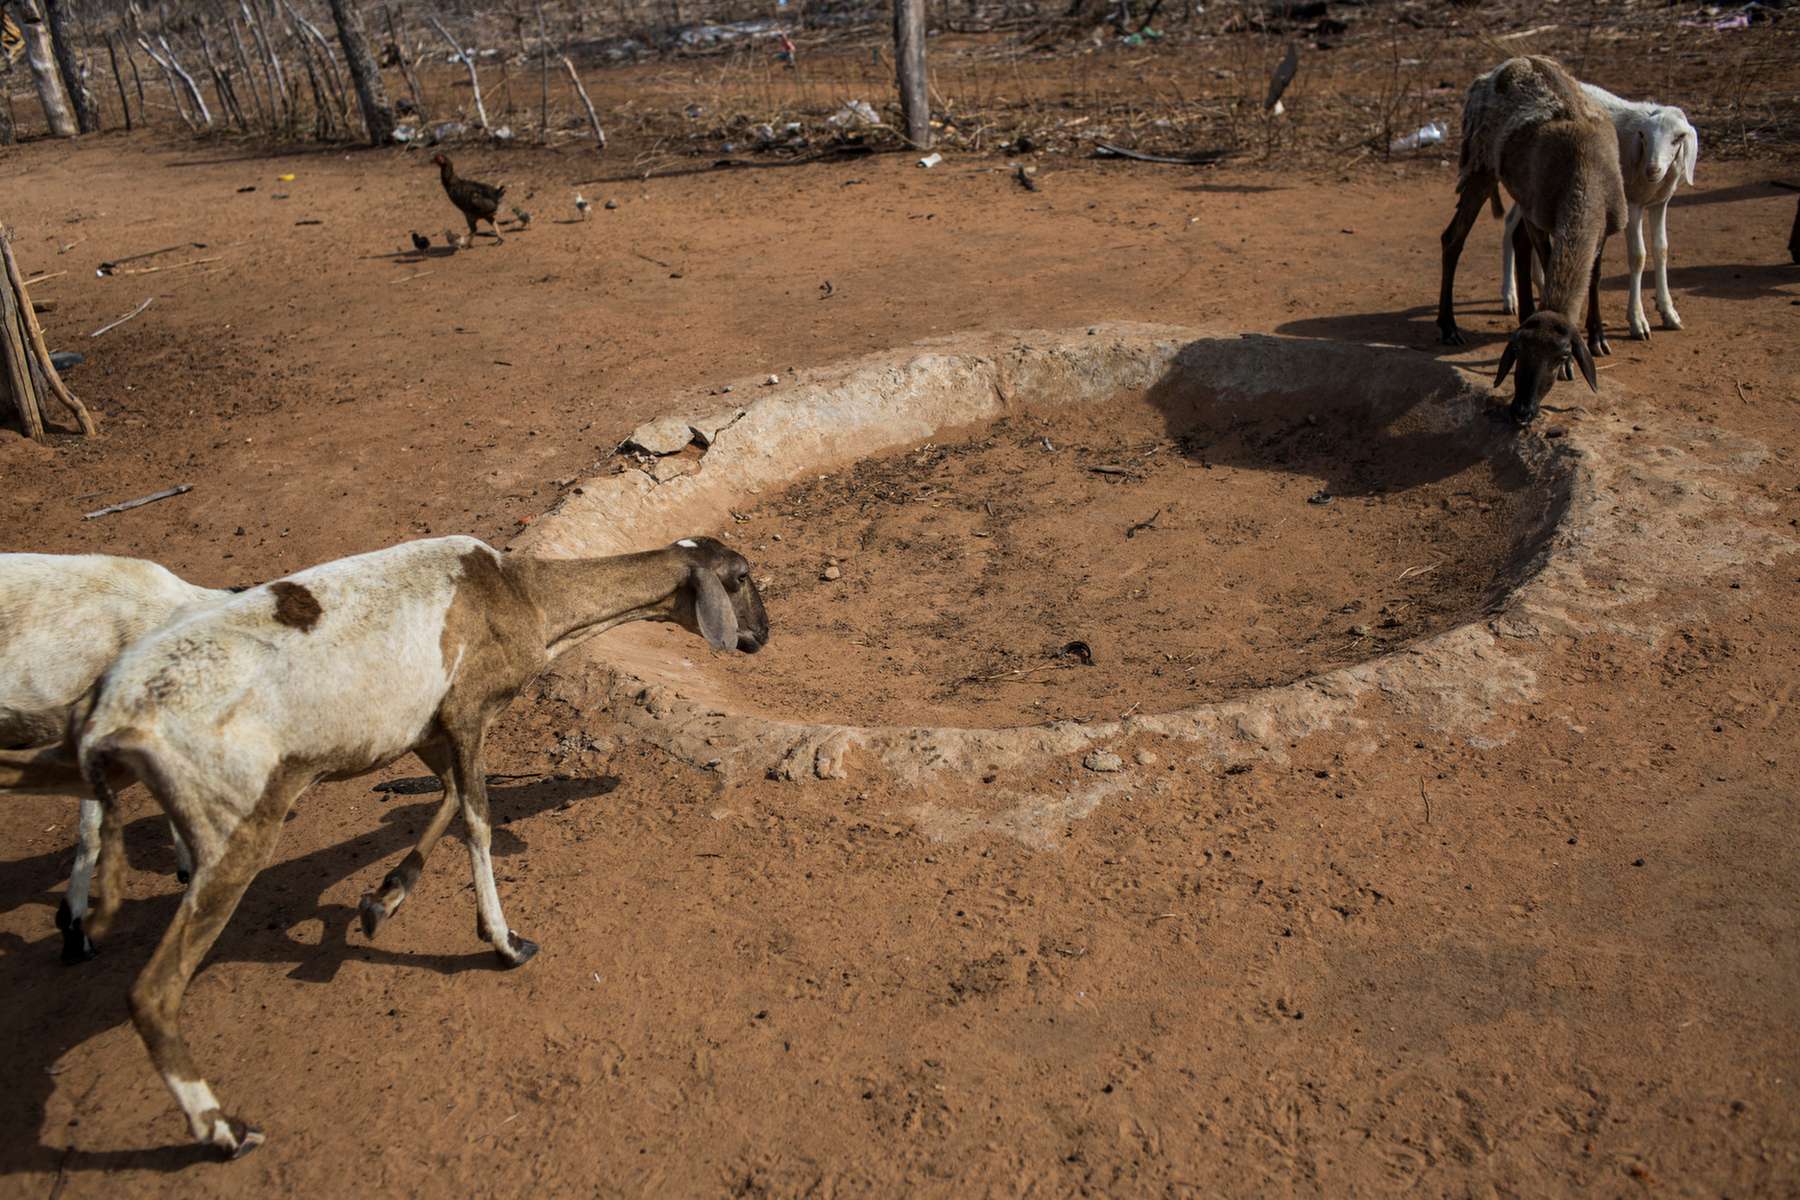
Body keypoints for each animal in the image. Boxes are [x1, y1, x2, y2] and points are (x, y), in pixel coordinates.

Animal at [73, 536, 766, 1165]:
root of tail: (110, 720)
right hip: (236, 826)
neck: (524, 596)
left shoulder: (426, 727)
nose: (763, 633)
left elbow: (450, 799)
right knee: (152, 993)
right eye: (739, 578)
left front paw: (383, 899)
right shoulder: (466, 709)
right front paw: (504, 941)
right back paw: (222, 1130)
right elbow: (478, 820)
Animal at [1432, 59, 1634, 431]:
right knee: (1454, 238)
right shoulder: (1541, 215)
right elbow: (1547, 255)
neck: (1585, 174)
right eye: (1516, 352)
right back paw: (1449, 326)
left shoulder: (1605, 225)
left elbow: (1595, 277)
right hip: (1481, 164)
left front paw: (1598, 337)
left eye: (1562, 353)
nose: (1521, 410)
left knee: (1512, 239)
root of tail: (1502, 67)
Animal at [1504, 80, 1699, 338]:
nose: (1653, 169)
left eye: (1678, 139)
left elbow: (1661, 250)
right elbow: (1638, 255)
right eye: (1644, 137)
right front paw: (1637, 320)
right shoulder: (1632, 203)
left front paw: (1668, 312)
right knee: (1511, 227)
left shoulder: (1660, 202)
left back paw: (1539, 282)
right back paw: (1509, 297)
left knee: (1518, 227)